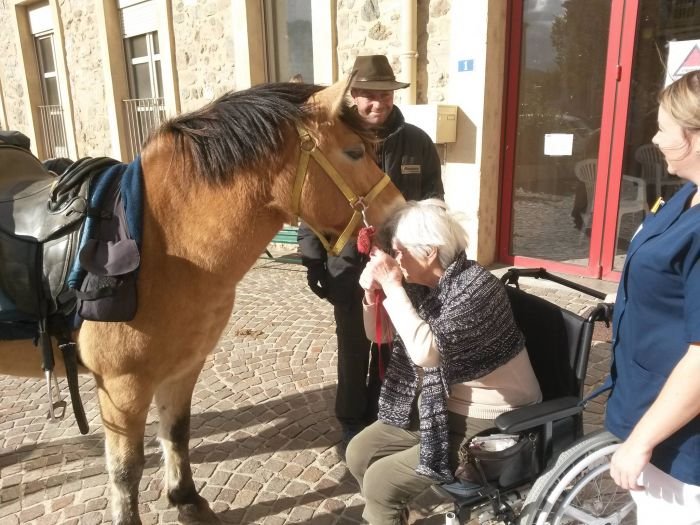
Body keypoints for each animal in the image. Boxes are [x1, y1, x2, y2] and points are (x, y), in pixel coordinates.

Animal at [0, 77, 403, 524]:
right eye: (354, 151)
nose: (403, 213)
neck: (164, 245)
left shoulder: (183, 367)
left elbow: (176, 433)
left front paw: (186, 498)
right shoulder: (122, 385)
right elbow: (126, 469)